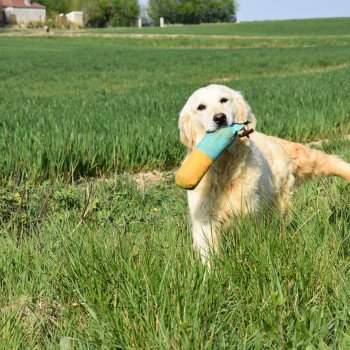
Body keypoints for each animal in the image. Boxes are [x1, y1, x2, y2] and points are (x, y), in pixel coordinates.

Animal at [179, 84, 350, 260]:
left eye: (224, 100)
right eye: (201, 107)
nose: (220, 118)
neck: (224, 165)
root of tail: (275, 140)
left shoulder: (249, 212)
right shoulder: (204, 219)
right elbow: (208, 252)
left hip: (279, 200)